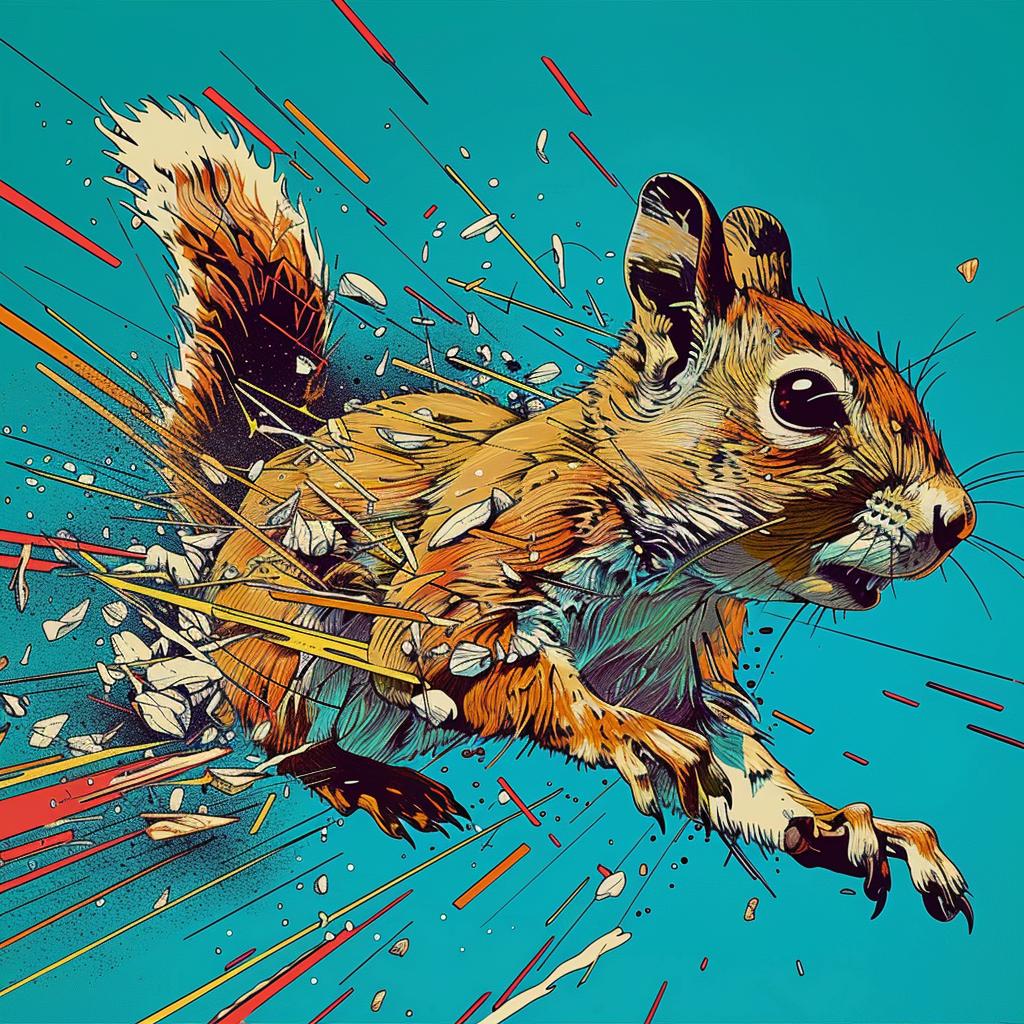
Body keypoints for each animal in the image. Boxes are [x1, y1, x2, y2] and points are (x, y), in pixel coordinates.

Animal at [96, 99, 974, 927]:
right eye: (803, 399)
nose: (956, 519)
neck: (677, 576)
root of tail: (239, 506)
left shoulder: (678, 668)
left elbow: (745, 777)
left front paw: (846, 826)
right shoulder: (497, 550)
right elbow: (453, 652)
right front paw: (626, 734)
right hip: (283, 652)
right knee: (277, 742)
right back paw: (368, 778)